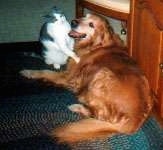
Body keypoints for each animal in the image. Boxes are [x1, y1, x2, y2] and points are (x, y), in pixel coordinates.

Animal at [21, 13, 153, 144]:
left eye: (91, 24)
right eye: (85, 16)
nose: (73, 22)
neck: (95, 45)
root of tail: (136, 117)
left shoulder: (68, 76)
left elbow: (46, 72)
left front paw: (28, 72)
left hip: (101, 73)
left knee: (98, 114)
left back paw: (78, 105)